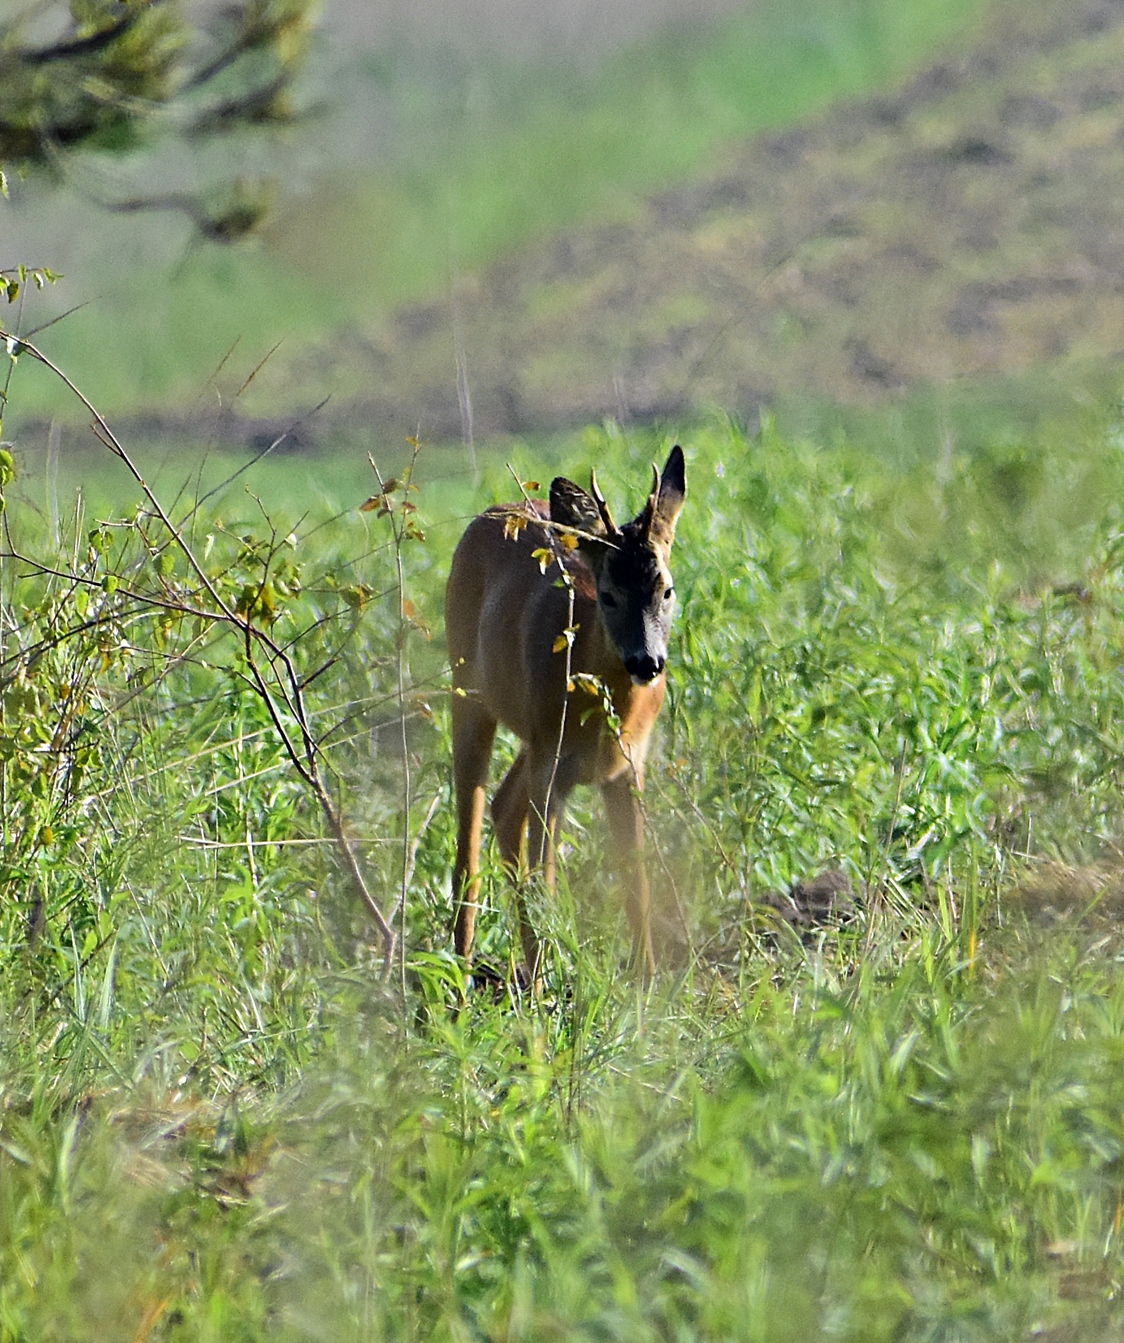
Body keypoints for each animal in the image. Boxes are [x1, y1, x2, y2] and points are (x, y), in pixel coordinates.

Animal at [448, 445, 684, 983]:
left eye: (666, 590)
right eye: (610, 593)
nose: (646, 662)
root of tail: (493, 511)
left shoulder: (628, 767)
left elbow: (636, 883)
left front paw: (648, 985)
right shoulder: (552, 770)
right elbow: (547, 883)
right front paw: (542, 990)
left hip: (534, 740)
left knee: (504, 807)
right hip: (470, 693)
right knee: (468, 845)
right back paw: (460, 975)